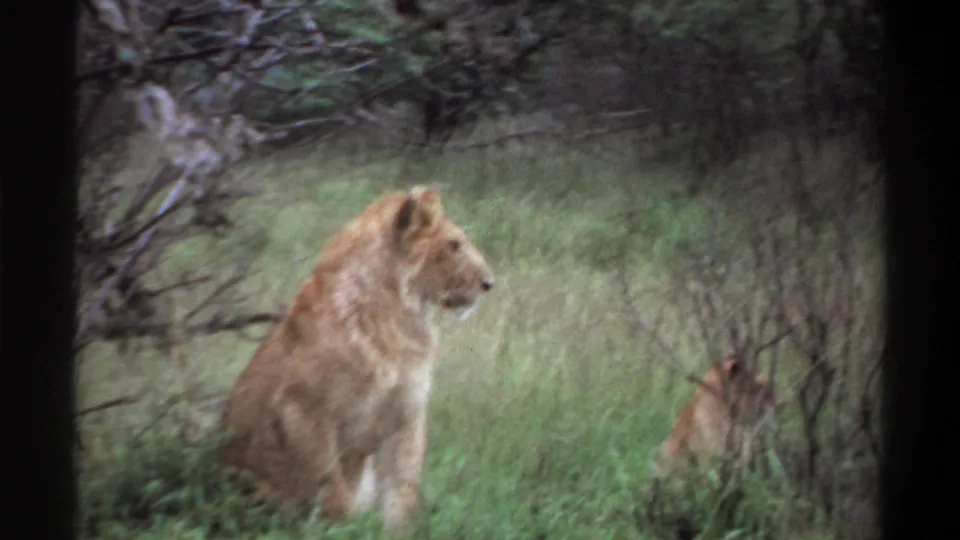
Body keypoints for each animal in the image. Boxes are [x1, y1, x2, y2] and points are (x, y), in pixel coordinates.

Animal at [218, 185, 495, 533]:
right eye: (454, 245)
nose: (490, 283)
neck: (398, 316)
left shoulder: (407, 414)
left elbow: (401, 489)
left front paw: (394, 531)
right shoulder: (302, 410)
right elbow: (333, 492)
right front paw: (342, 529)